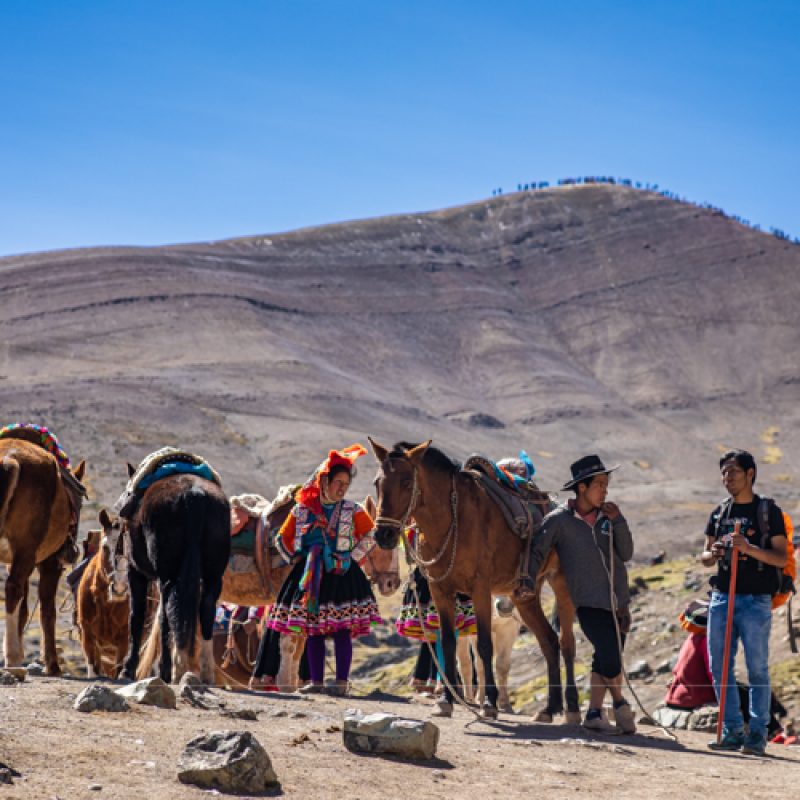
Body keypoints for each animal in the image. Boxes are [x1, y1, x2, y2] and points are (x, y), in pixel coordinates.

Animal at [0, 438, 86, 676]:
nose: (71, 553)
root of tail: (9, 459)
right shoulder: (49, 563)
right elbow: (47, 611)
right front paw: (53, 665)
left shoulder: (16, 560)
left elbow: (23, 610)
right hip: (28, 551)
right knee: (12, 589)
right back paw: (13, 657)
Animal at [120, 472, 230, 684]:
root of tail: (195, 495)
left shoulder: (135, 571)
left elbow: (136, 617)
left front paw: (127, 670)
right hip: (213, 576)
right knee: (206, 610)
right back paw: (204, 673)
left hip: (168, 577)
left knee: (169, 615)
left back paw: (173, 669)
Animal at [368, 440, 576, 720]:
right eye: (377, 483)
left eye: (406, 482)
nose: (384, 534)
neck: (452, 519)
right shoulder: (440, 590)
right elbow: (448, 643)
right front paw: (446, 700)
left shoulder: (481, 591)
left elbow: (484, 646)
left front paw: (489, 703)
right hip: (525, 596)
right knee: (549, 641)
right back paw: (549, 708)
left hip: (561, 586)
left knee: (566, 643)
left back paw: (571, 709)